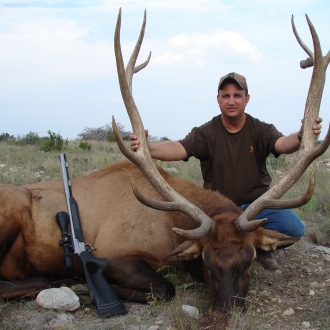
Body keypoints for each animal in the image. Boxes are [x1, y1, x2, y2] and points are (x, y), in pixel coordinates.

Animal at [0, 10, 328, 314]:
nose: (225, 311)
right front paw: (87, 288)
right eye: (206, 260)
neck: (167, 230)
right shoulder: (111, 252)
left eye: (250, 259)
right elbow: (165, 287)